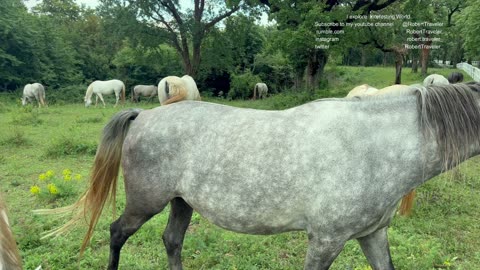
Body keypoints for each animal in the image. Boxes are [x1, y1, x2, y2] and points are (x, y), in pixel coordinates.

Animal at [40, 83, 480, 268]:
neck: (372, 145)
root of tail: (144, 115)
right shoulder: (326, 241)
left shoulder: (372, 234)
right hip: (145, 202)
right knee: (116, 234)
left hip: (182, 202)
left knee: (171, 241)